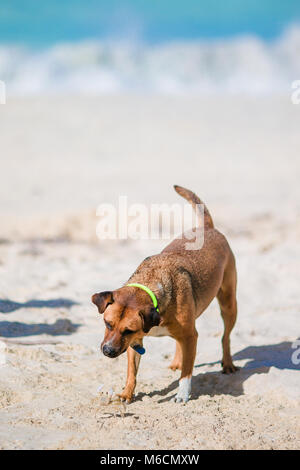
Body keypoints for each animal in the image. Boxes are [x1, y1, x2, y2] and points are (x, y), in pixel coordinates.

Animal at [91, 187, 237, 404]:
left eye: (127, 330)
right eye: (107, 324)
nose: (107, 351)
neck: (151, 286)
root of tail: (208, 228)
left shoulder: (189, 335)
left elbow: (187, 373)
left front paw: (182, 394)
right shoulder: (135, 343)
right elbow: (132, 372)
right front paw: (127, 393)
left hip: (228, 303)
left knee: (225, 337)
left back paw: (227, 363)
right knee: (181, 344)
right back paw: (178, 361)